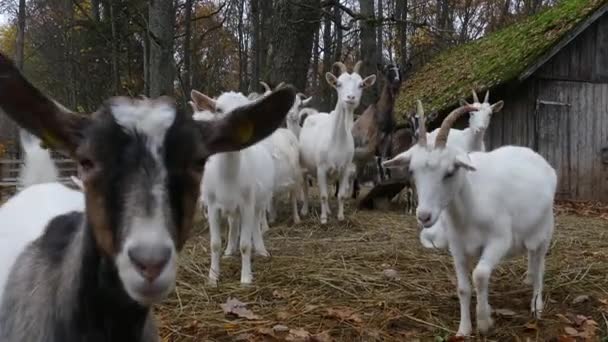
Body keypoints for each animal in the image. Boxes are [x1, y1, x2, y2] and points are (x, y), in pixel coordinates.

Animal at [191, 89, 276, 286]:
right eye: (218, 109)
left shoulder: (247, 203)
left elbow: (245, 244)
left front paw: (246, 278)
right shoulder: (212, 205)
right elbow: (214, 243)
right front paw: (213, 277)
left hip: (260, 200)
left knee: (255, 223)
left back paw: (261, 250)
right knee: (233, 222)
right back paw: (230, 251)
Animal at [300, 60, 376, 224]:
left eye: (361, 84)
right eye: (338, 84)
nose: (350, 97)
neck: (336, 141)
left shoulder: (345, 168)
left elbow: (340, 195)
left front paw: (340, 217)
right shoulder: (321, 168)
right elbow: (322, 195)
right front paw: (323, 219)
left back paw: (328, 210)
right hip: (304, 166)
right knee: (305, 187)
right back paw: (304, 210)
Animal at [384, 99, 556, 336]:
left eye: (450, 172)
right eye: (412, 171)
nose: (424, 216)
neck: (471, 207)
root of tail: (535, 156)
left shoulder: (499, 240)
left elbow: (480, 275)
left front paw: (484, 321)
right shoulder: (457, 247)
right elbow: (464, 288)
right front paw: (464, 329)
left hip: (546, 229)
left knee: (540, 265)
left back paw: (536, 305)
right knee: (532, 258)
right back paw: (528, 279)